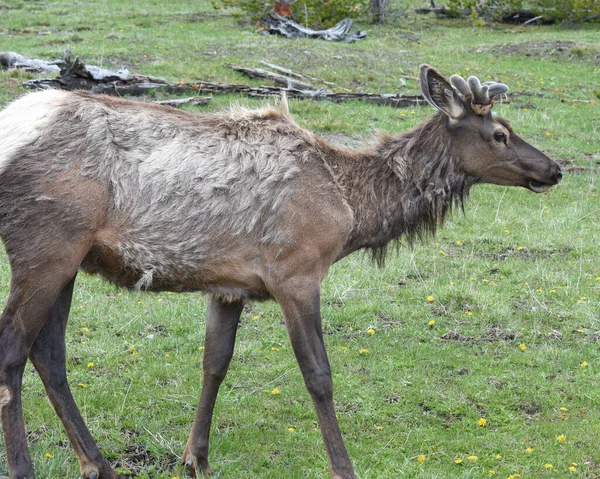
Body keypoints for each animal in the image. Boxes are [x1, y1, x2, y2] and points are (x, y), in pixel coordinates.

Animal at [0, 64, 564, 479]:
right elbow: (319, 376)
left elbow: (214, 363)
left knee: (49, 354)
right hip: (45, 246)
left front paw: (195, 458)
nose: (554, 168)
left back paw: (99, 465)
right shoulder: (297, 273)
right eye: (499, 134)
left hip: (72, 258)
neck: (351, 209)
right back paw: (26, 467)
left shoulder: (228, 285)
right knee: (14, 349)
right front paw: (344, 468)